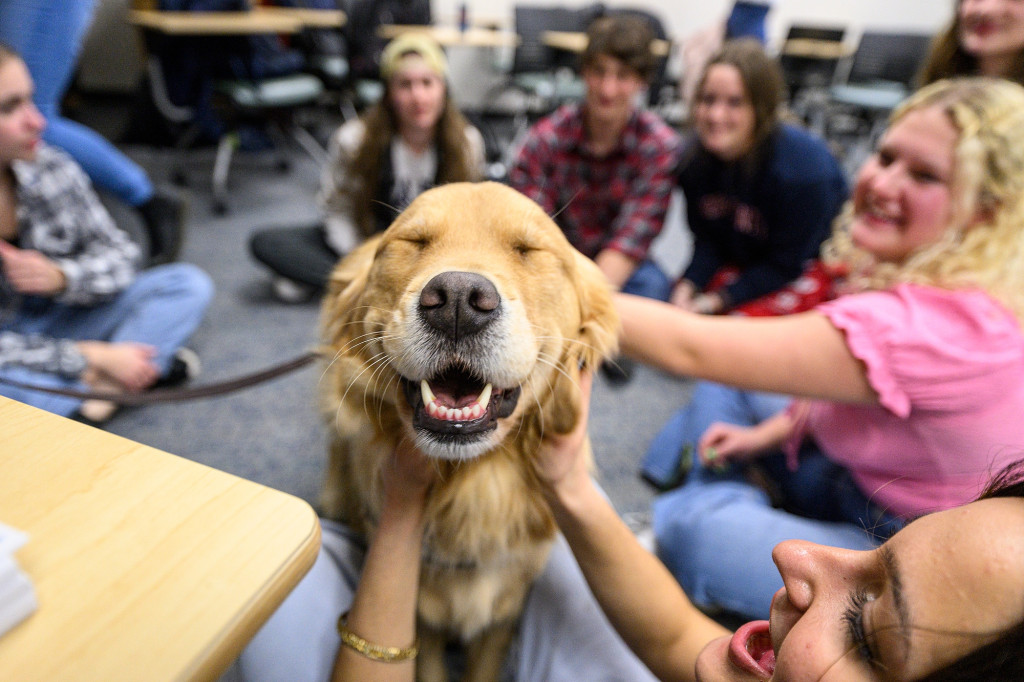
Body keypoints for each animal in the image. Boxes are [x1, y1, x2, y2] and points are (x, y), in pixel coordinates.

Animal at [319, 182, 614, 679]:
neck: (476, 486)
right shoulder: (425, 623)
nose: (458, 298)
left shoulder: (504, 615)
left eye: (528, 250)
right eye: (413, 242)